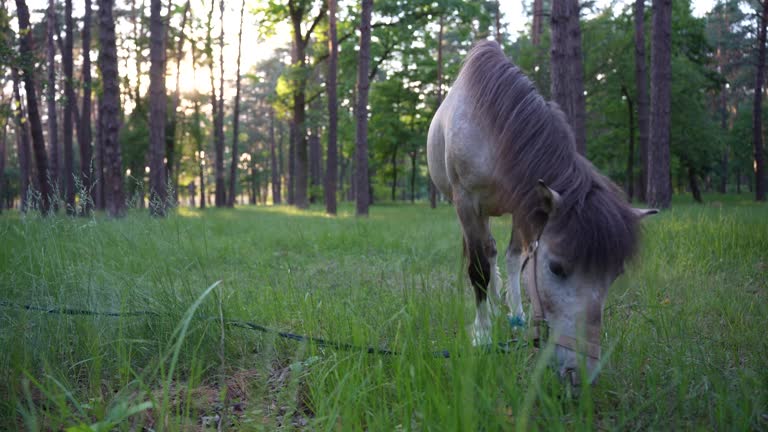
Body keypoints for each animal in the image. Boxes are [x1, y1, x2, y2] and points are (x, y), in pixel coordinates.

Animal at [426, 41, 656, 384]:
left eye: (614, 275)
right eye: (556, 268)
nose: (580, 374)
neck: (492, 129)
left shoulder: (525, 204)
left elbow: (515, 259)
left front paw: (518, 315)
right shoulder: (466, 203)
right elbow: (478, 270)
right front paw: (481, 334)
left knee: (499, 253)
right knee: (480, 255)